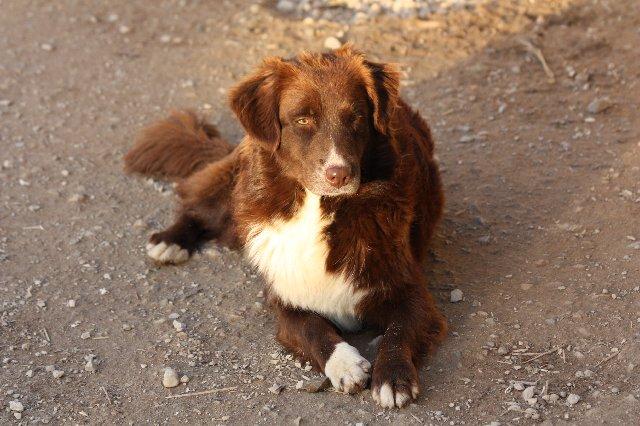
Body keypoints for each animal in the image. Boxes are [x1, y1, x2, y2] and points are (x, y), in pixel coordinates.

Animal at [124, 45, 444, 408]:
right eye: (302, 120)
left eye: (357, 118)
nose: (340, 174)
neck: (318, 208)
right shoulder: (285, 294)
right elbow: (311, 327)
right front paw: (344, 363)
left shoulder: (409, 289)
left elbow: (399, 330)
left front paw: (392, 376)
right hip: (233, 185)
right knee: (198, 204)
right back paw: (170, 240)